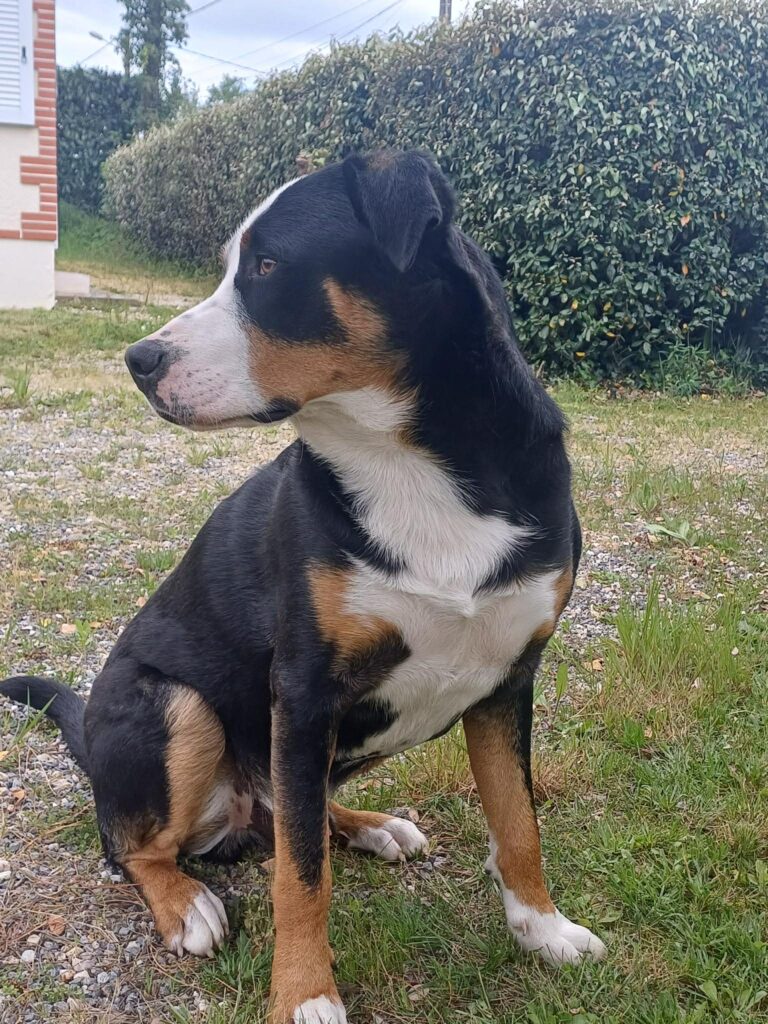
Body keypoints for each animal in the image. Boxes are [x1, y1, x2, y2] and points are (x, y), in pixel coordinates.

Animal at [1, 149, 605, 1024]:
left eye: (267, 265)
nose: (139, 361)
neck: (407, 467)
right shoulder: (305, 686)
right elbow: (299, 878)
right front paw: (303, 993)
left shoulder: (507, 680)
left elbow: (517, 821)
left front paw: (544, 929)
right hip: (178, 705)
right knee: (134, 844)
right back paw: (186, 904)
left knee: (294, 815)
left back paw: (371, 825)